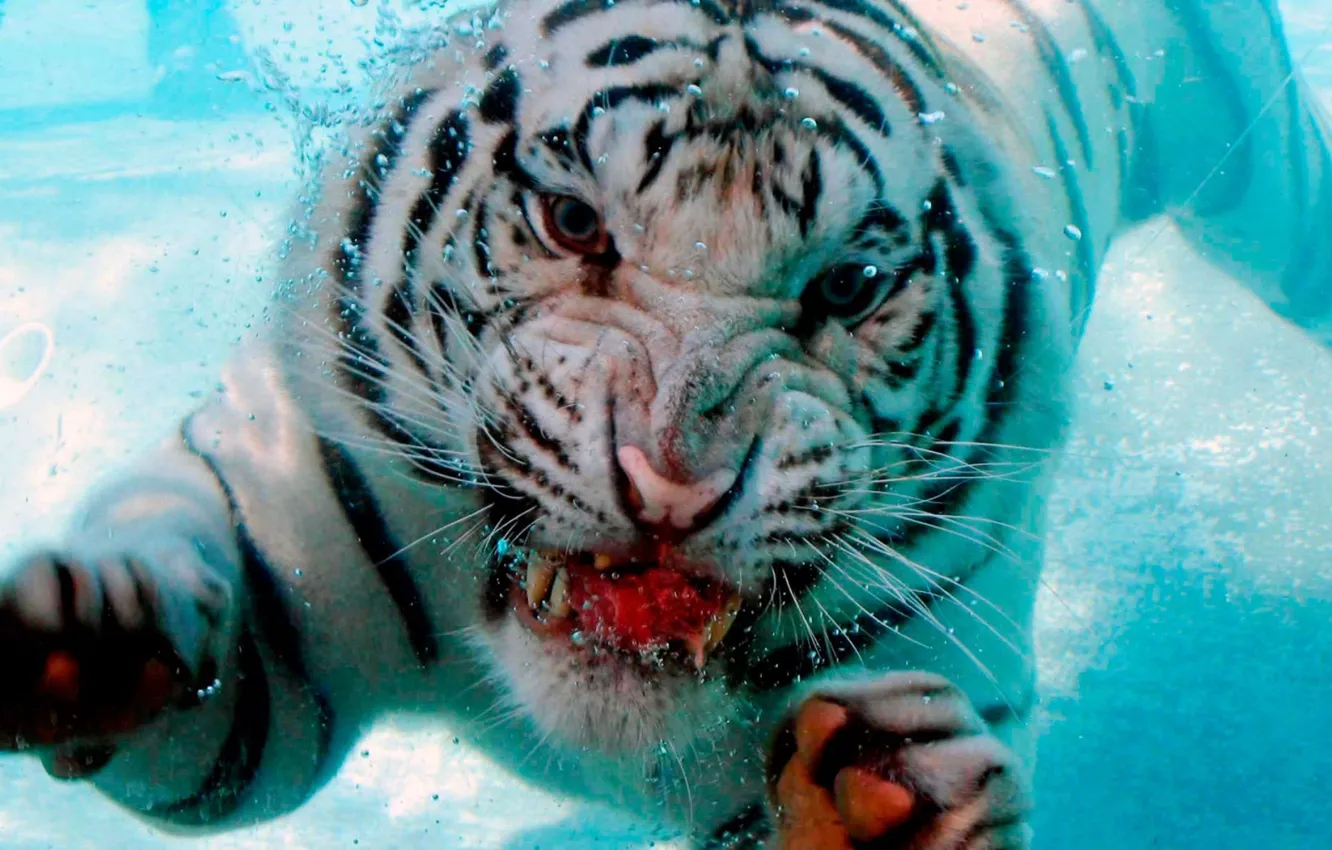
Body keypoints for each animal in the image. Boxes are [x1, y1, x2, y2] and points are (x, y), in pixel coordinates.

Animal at [3, 0, 1330, 847]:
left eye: (847, 285)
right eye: (573, 221)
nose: (675, 481)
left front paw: (881, 803)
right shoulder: (288, 545)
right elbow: (203, 663)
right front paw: (92, 628)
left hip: (1259, 174)